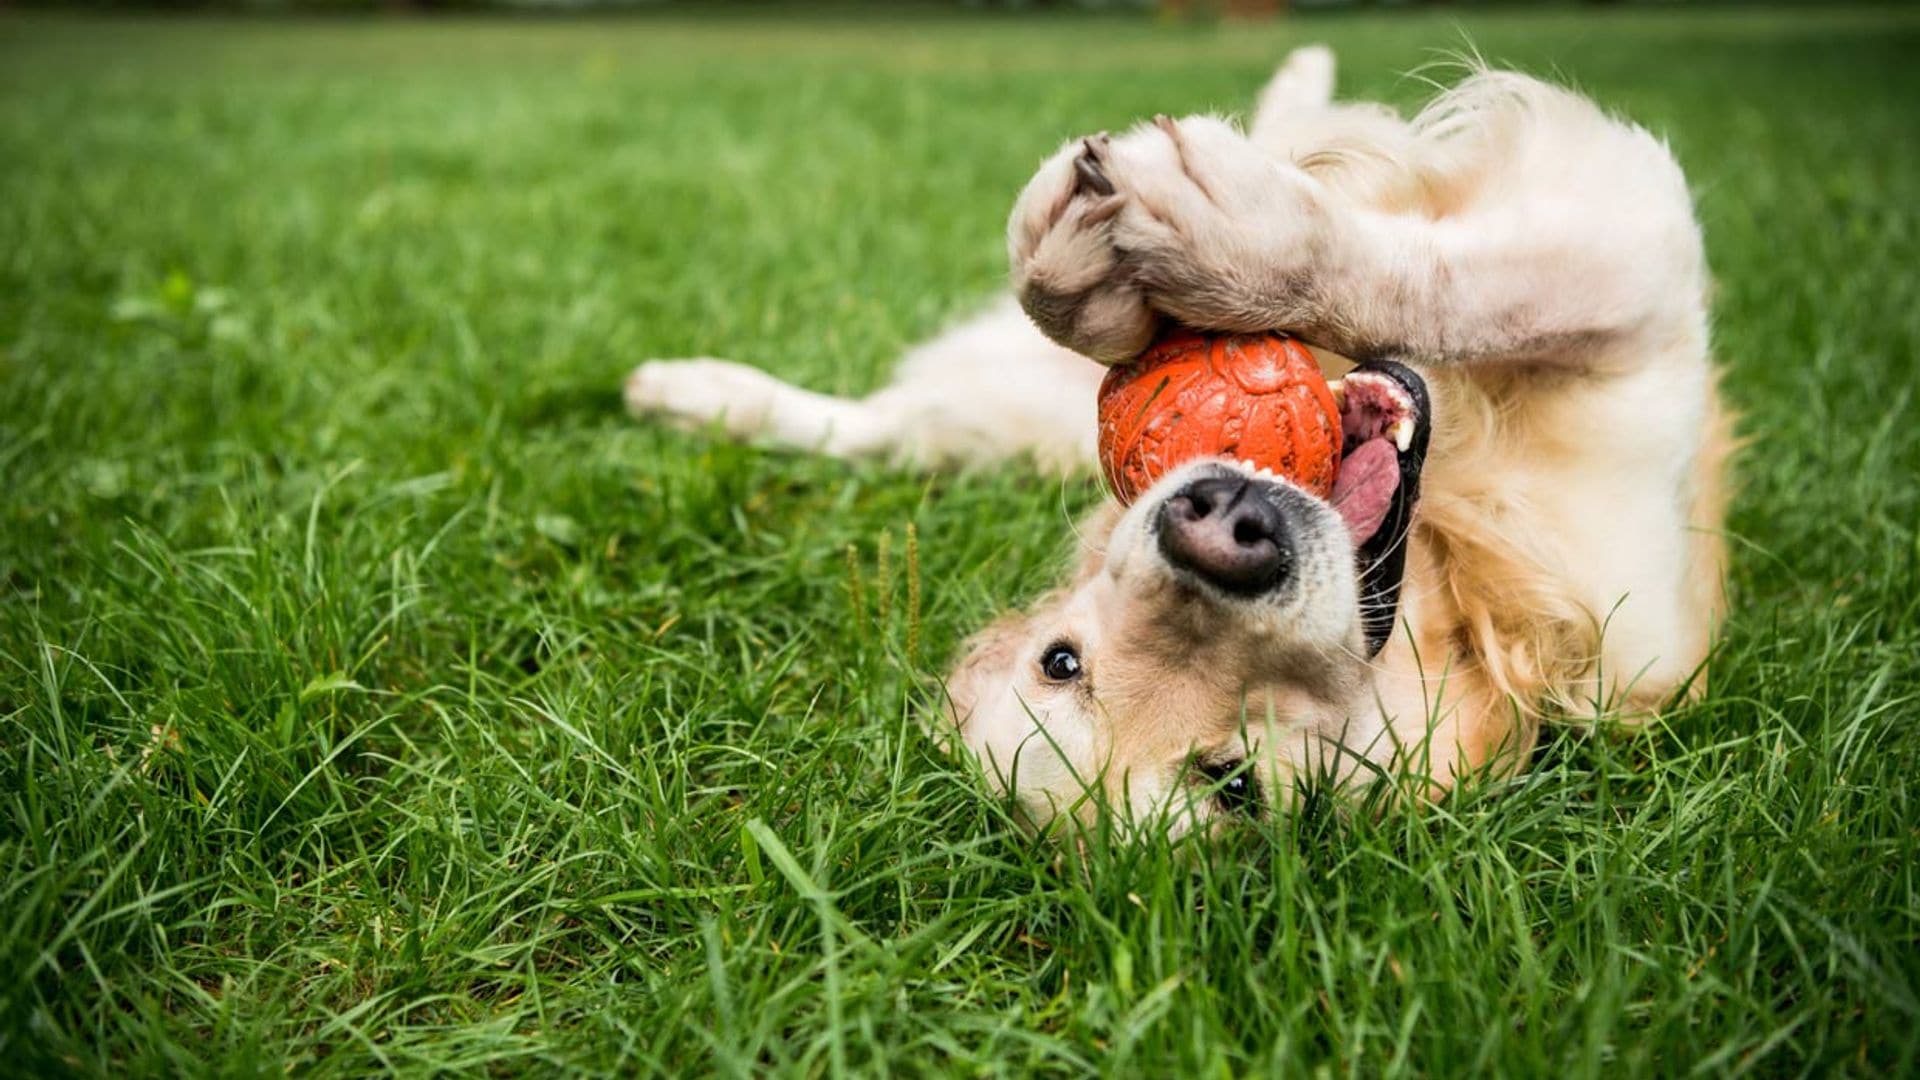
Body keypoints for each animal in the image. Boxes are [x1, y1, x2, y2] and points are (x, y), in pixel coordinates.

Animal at [622, 46, 1735, 834]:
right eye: (1065, 662)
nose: (1222, 527)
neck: (1452, 577)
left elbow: (1447, 278)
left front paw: (1206, 245)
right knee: (888, 428)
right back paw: (692, 395)